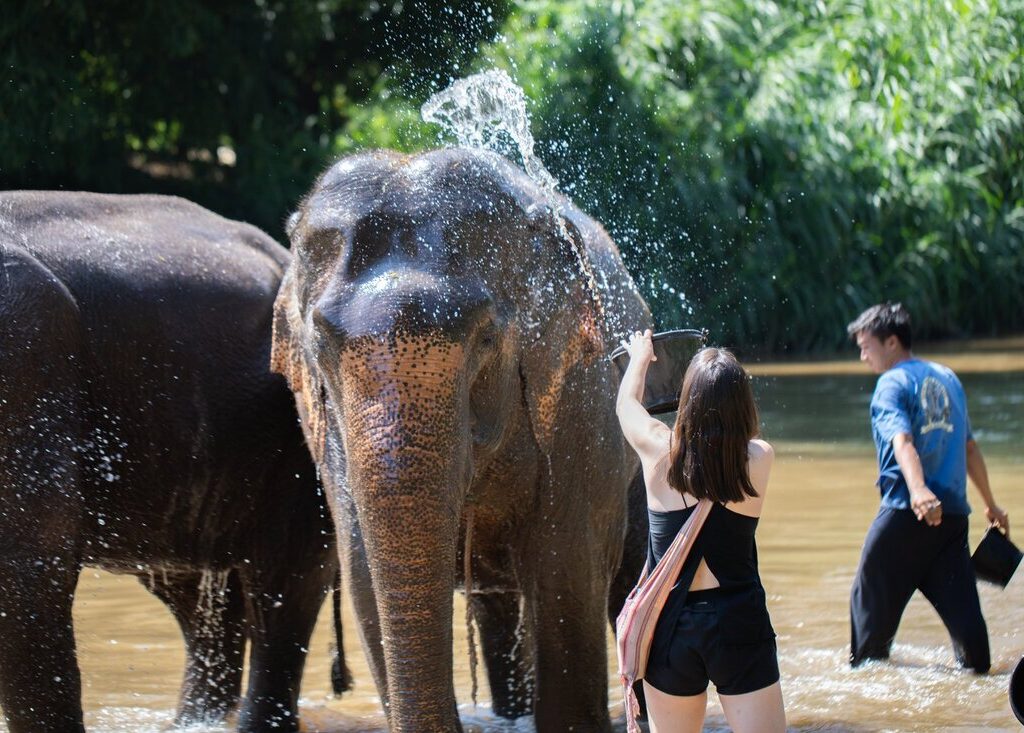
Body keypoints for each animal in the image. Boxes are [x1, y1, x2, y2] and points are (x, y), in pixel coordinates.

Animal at [271, 147, 652, 731]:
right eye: (319, 344)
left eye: (487, 337)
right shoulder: (328, 433)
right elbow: (364, 582)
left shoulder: (578, 402)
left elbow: (566, 570)